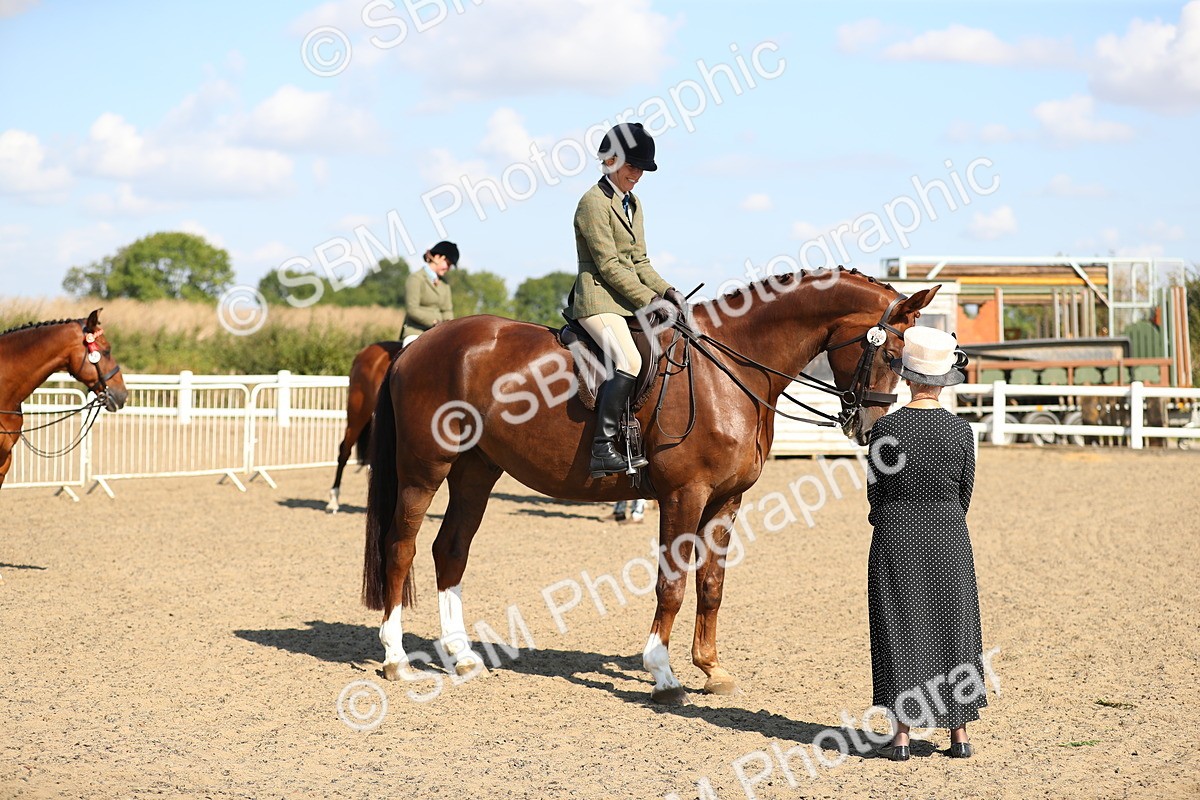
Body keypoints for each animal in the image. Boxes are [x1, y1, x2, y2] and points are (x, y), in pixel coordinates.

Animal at [362, 268, 938, 704]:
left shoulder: (727, 500)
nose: (870, 428)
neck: (729, 369)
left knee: (450, 550)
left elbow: (711, 584)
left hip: (475, 471)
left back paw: (461, 657)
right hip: (424, 469)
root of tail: (417, 347)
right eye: (890, 355)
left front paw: (711, 668)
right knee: (400, 547)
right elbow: (672, 583)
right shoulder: (686, 495)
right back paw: (396, 659)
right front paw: (663, 673)